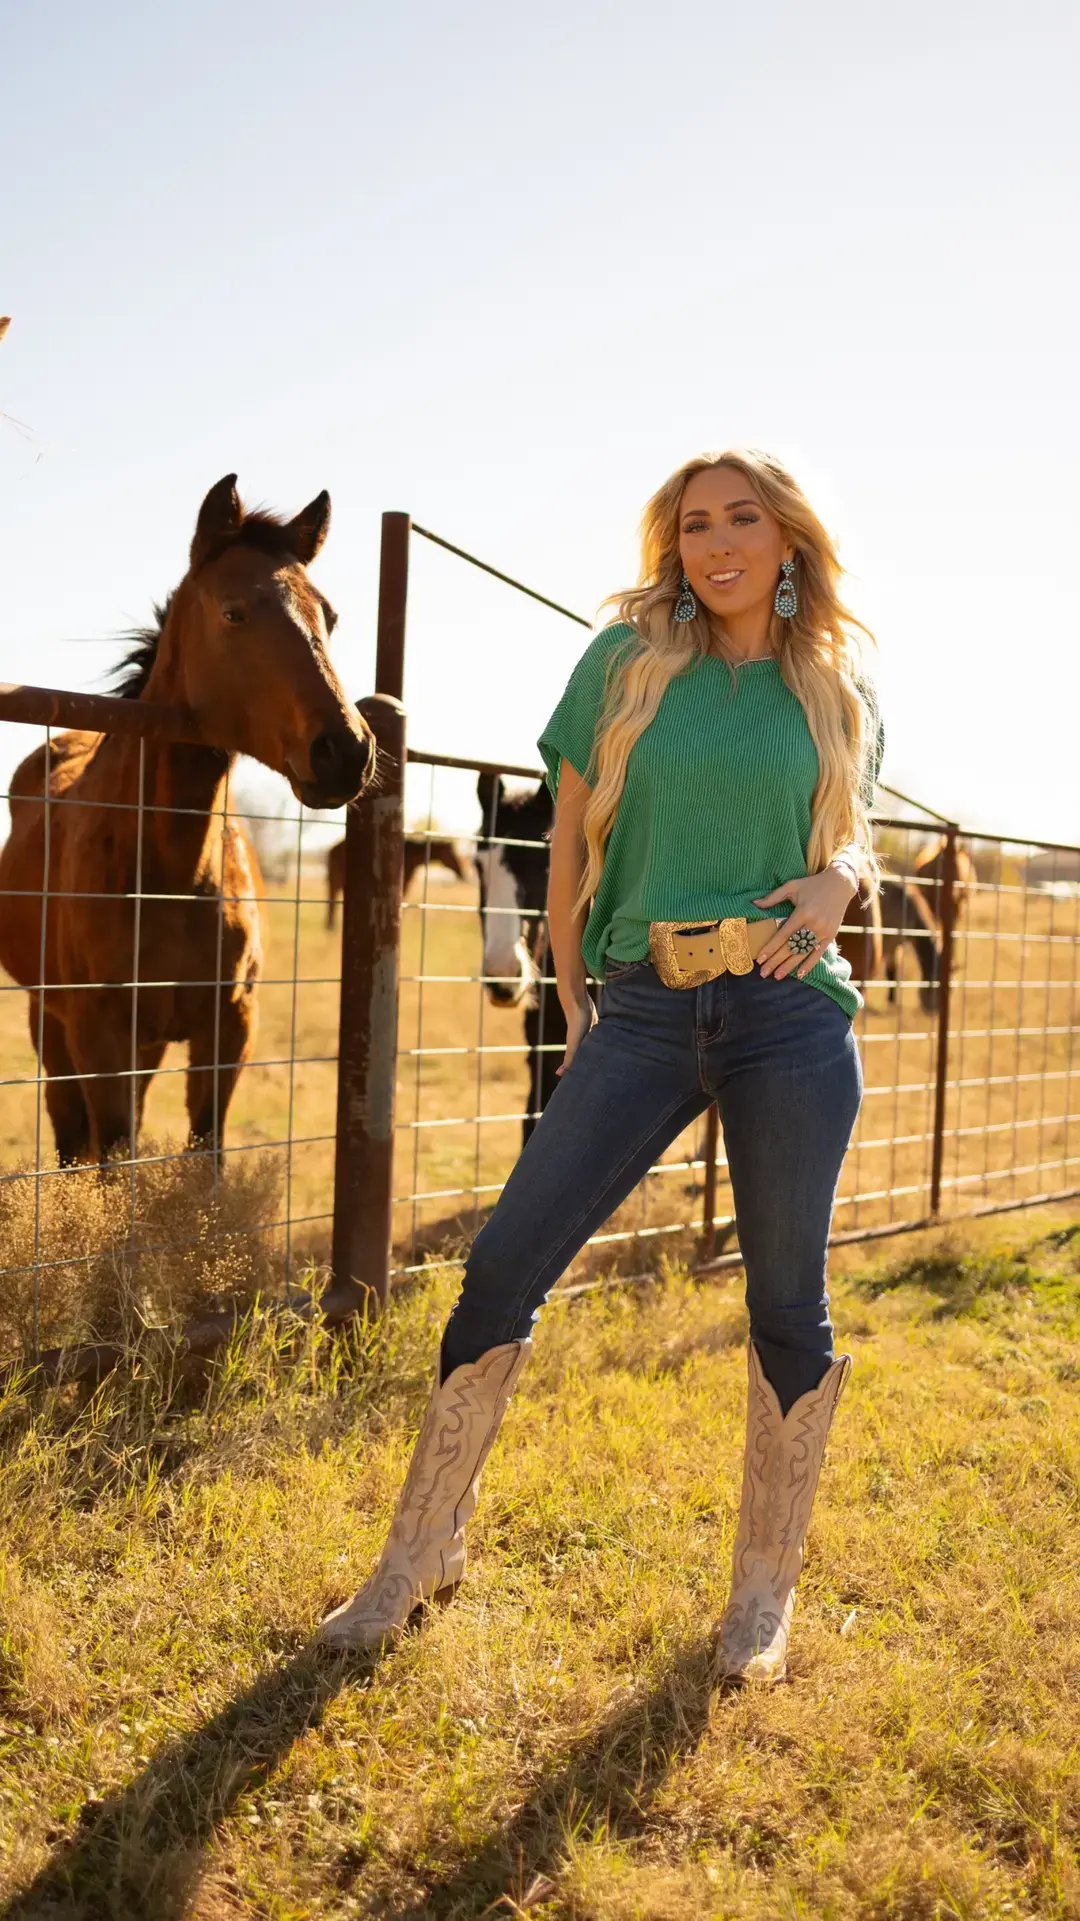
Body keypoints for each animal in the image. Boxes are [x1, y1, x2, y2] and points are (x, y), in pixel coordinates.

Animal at [0, 472, 374, 1160]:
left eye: (330, 618)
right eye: (233, 612)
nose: (346, 751)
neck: (168, 876)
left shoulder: (229, 1029)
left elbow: (206, 1151)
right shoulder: (99, 1034)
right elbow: (113, 1153)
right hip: (51, 1021)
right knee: (69, 1134)